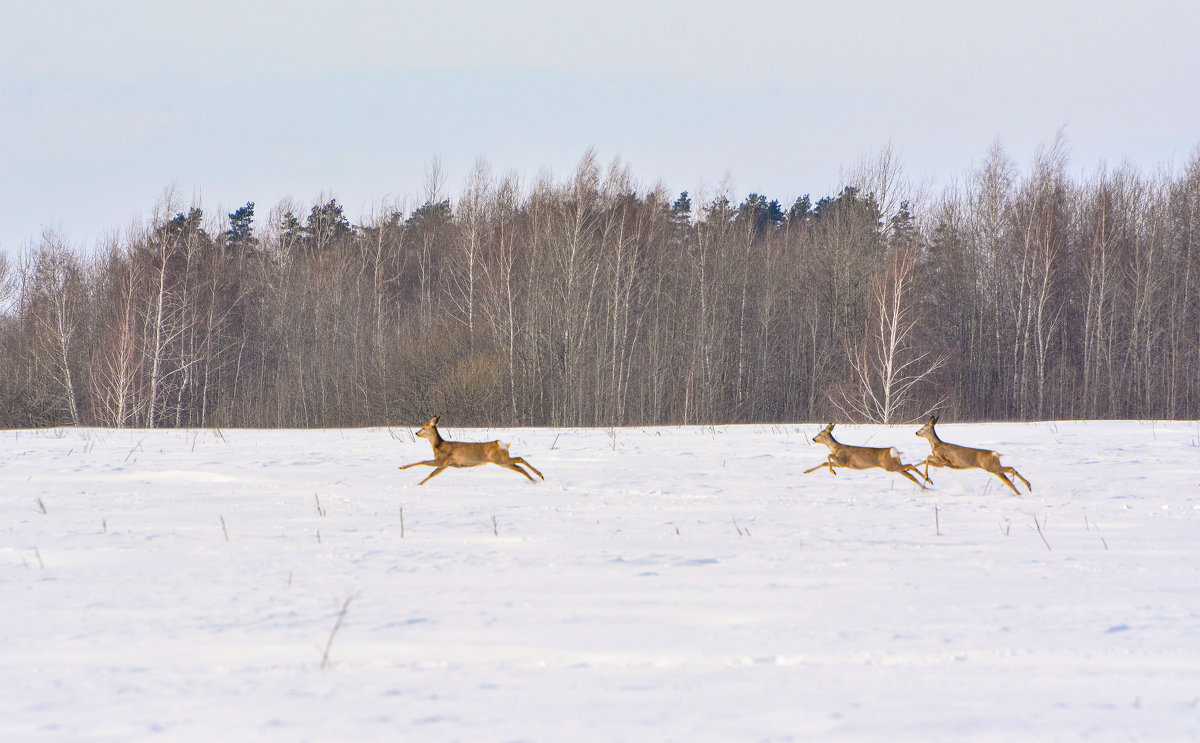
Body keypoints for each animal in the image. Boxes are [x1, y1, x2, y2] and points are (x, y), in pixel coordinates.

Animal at [400, 415, 547, 484]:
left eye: (424, 427)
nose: (416, 433)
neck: (438, 446)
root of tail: (501, 444)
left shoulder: (444, 461)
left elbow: (427, 468)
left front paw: (413, 479)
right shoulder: (446, 464)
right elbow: (429, 471)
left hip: (500, 460)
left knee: (520, 460)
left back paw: (539, 476)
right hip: (502, 460)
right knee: (519, 464)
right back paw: (536, 479)